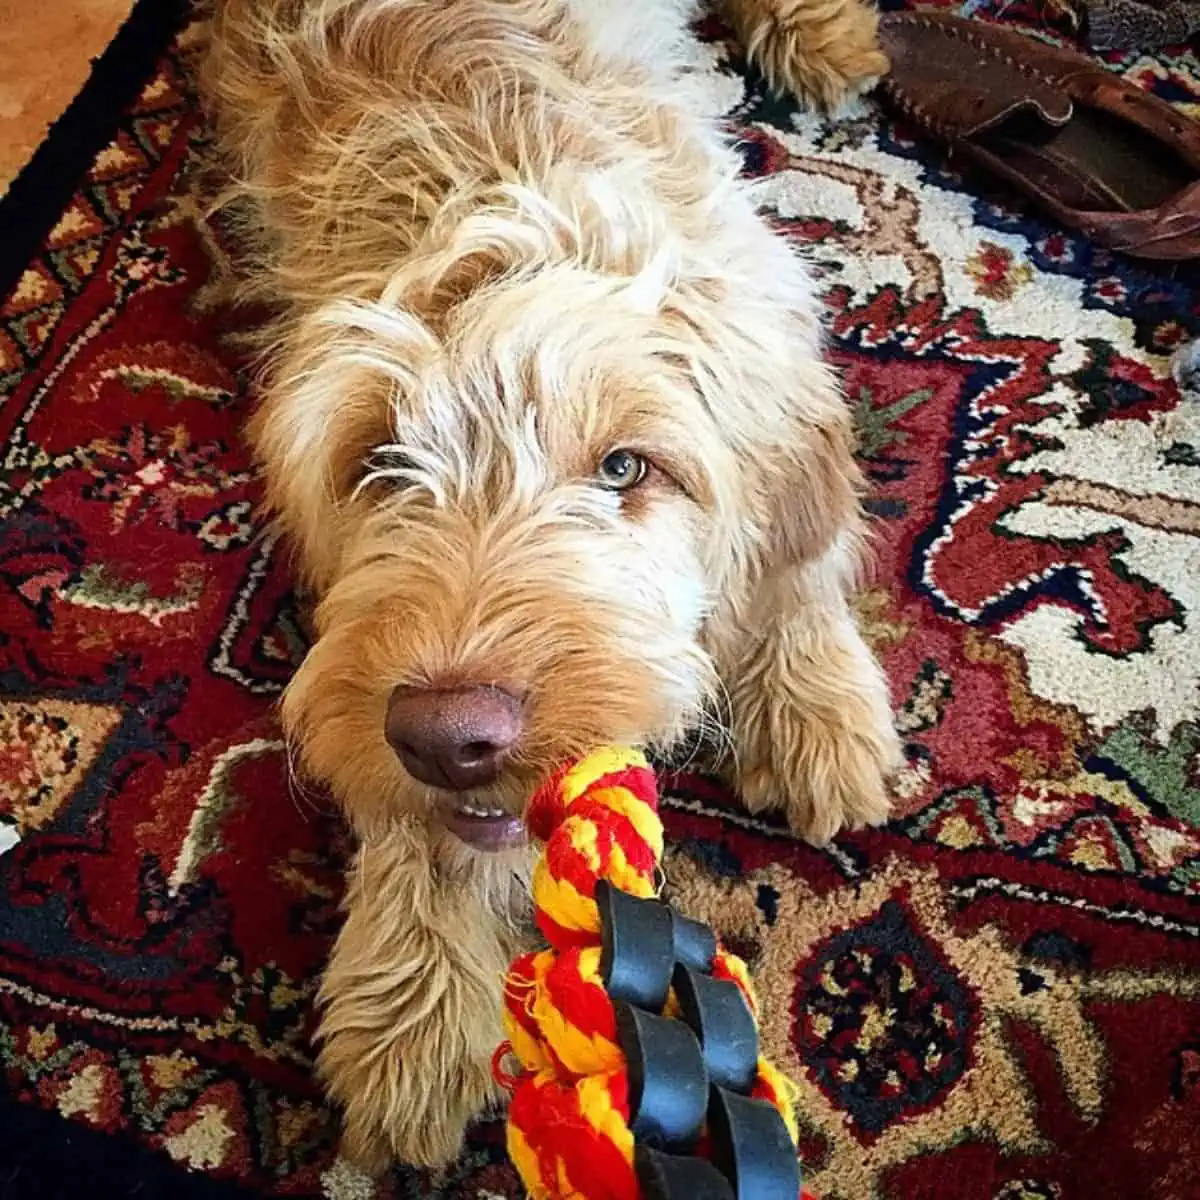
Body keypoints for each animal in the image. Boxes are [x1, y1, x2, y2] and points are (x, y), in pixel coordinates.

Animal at [204, 0, 902, 1171]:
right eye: (379, 465)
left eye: (625, 468)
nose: (449, 736)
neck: (500, 207)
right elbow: (417, 814)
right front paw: (412, 997)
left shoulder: (772, 333)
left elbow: (797, 553)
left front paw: (812, 706)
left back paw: (820, 35)